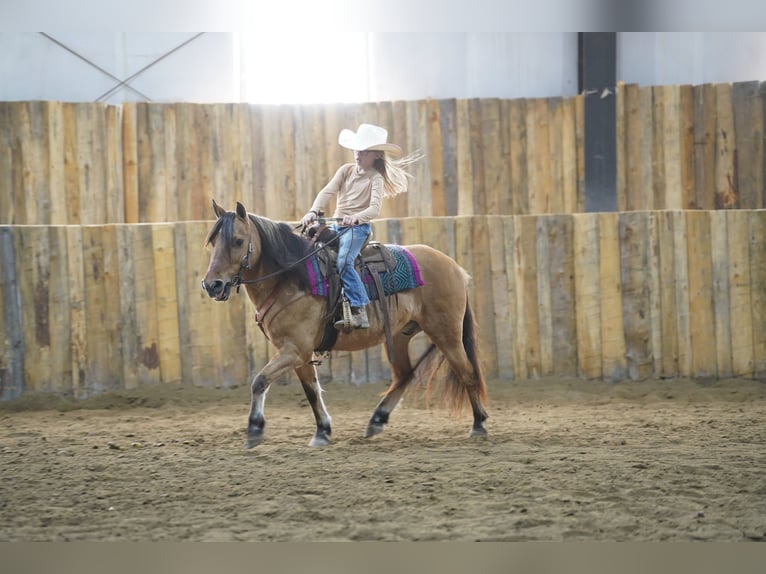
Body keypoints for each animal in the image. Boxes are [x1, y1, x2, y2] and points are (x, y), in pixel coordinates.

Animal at [201, 200, 488, 447]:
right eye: (213, 241)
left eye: (238, 241)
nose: (212, 284)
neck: (290, 280)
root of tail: (454, 267)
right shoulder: (299, 353)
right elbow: (312, 391)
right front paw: (322, 431)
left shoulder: (295, 350)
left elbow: (260, 380)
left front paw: (254, 428)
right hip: (400, 336)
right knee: (405, 374)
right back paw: (377, 420)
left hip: (446, 334)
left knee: (467, 373)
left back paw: (479, 424)